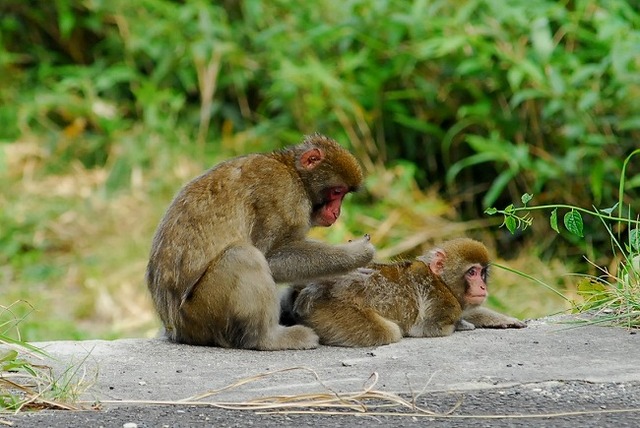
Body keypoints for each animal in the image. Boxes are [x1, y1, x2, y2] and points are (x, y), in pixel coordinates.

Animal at [145, 135, 376, 352]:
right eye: (337, 192)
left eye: (343, 194)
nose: (337, 212)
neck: (295, 175)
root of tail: (174, 327)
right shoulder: (282, 198)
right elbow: (269, 258)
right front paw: (356, 255)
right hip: (201, 315)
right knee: (243, 256)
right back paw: (268, 338)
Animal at [278, 236, 524, 350]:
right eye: (472, 272)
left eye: (482, 273)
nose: (482, 287)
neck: (442, 281)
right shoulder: (442, 302)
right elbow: (428, 328)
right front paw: (462, 325)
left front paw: (500, 319)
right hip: (331, 312)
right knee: (390, 332)